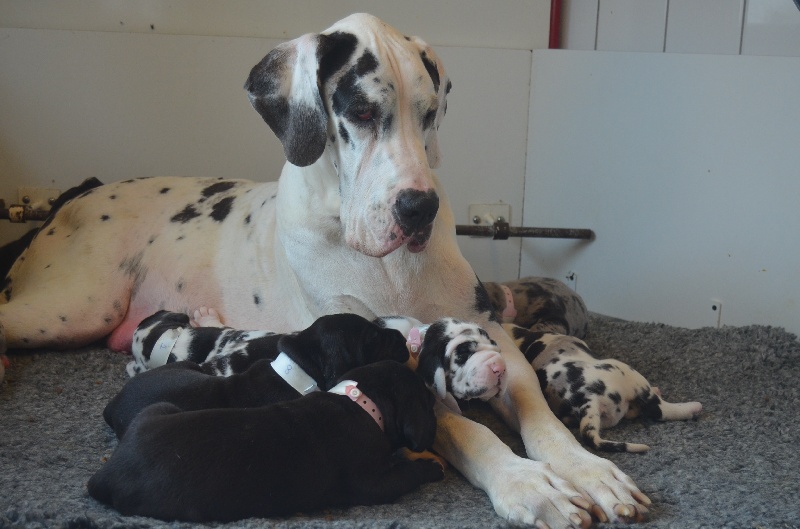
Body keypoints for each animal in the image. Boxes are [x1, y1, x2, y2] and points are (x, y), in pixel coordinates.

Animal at [87, 358, 444, 520]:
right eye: (428, 403)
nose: (437, 424)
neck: (362, 401)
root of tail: (106, 473)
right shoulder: (374, 483)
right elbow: (404, 474)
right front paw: (431, 468)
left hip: (157, 409)